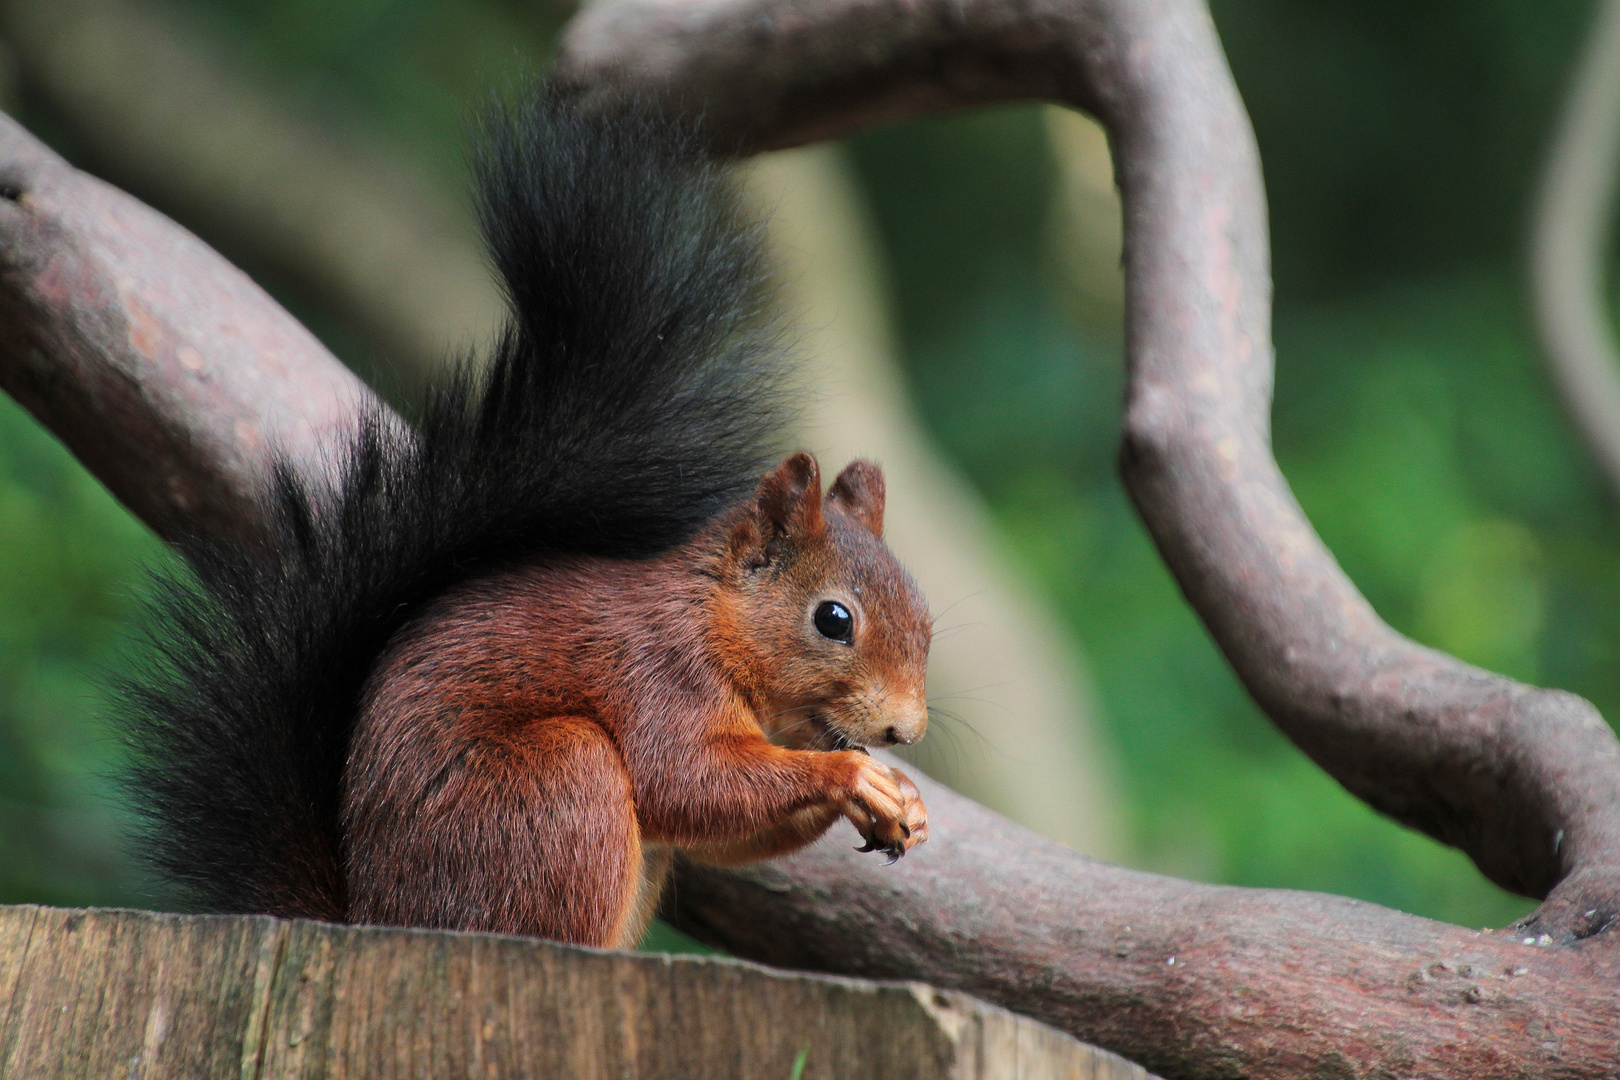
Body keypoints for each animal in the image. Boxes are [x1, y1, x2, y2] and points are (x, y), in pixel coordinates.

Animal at [114, 86, 933, 945]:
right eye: (834, 620)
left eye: (926, 619)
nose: (904, 732)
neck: (714, 620)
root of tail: (378, 920)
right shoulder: (658, 678)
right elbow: (688, 782)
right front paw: (853, 775)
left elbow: (724, 837)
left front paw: (900, 800)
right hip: (553, 787)